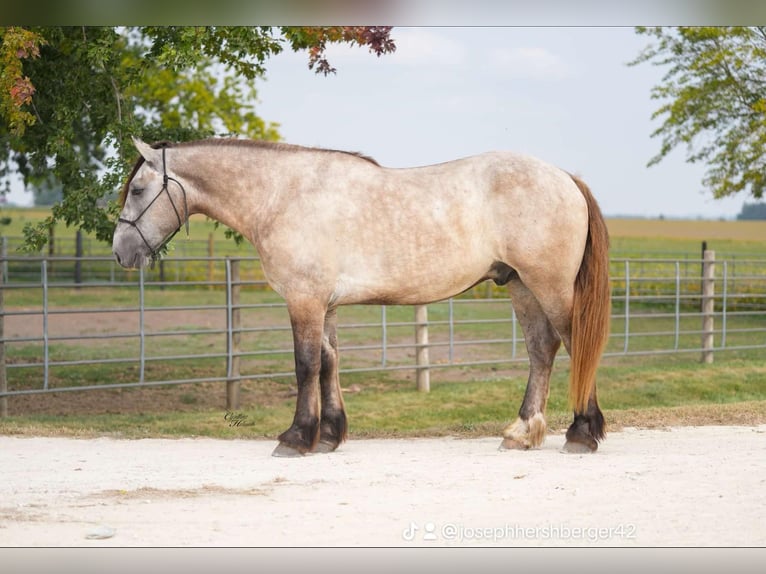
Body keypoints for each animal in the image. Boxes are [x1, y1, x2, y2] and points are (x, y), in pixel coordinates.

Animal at [112, 137, 611, 457]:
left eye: (137, 189)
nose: (121, 251)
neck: (282, 195)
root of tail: (565, 178)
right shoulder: (325, 305)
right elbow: (329, 362)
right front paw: (330, 435)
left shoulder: (304, 300)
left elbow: (305, 365)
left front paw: (296, 437)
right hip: (521, 286)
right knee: (542, 350)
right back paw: (521, 432)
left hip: (549, 286)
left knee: (574, 344)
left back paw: (581, 434)